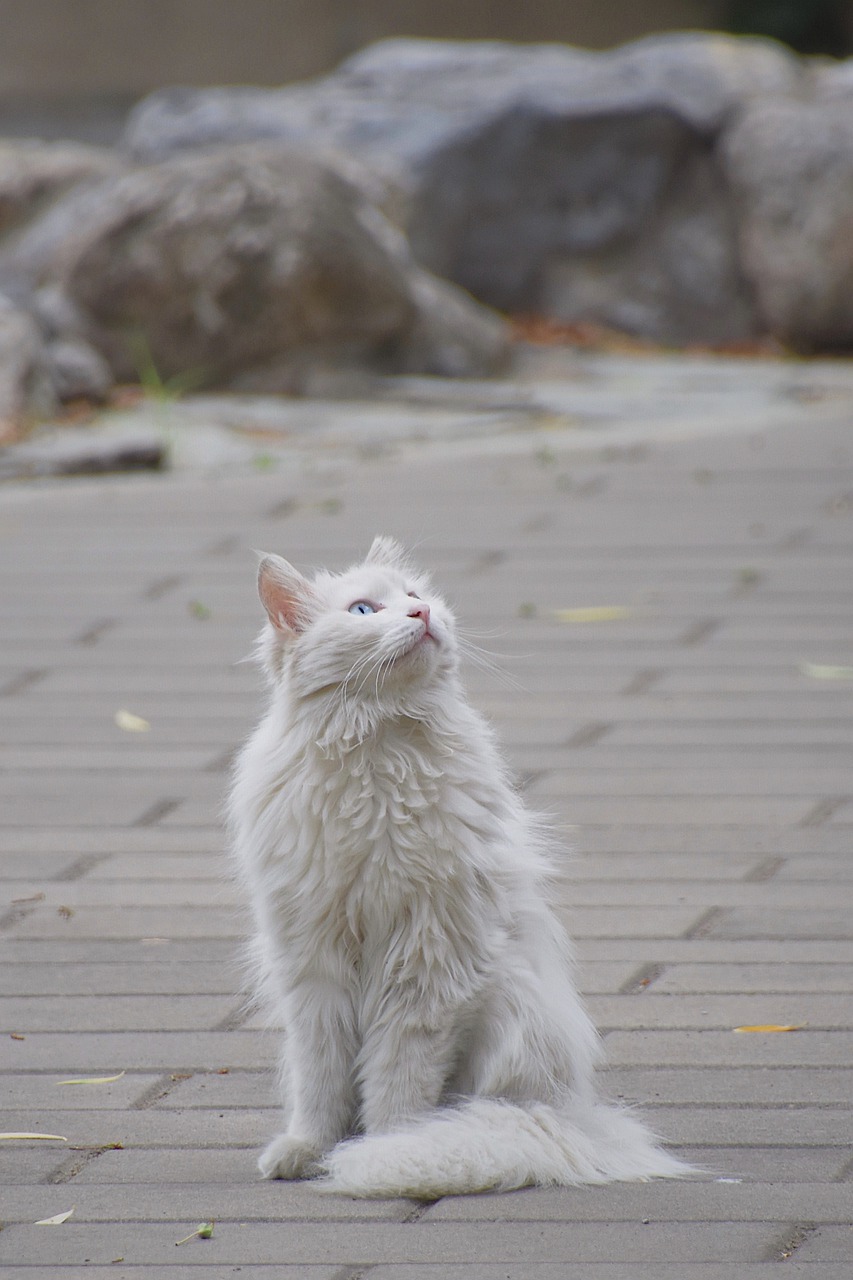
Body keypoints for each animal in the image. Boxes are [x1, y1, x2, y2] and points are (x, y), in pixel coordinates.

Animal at [225, 535, 686, 1192]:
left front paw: (387, 1152)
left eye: (414, 595)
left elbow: (395, 1083)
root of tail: (574, 1117)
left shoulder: (427, 961)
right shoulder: (314, 965)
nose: (421, 614)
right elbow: (321, 1081)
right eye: (364, 611)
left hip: (510, 1025)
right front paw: (309, 1149)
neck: (379, 751)